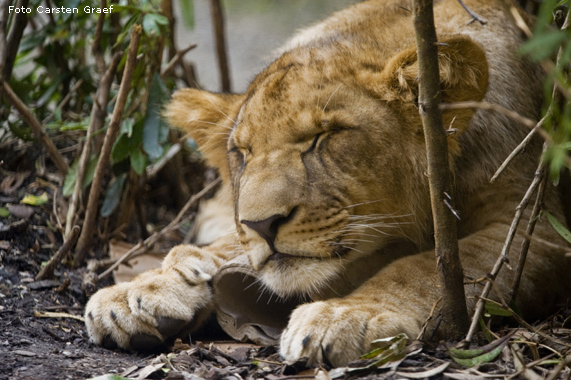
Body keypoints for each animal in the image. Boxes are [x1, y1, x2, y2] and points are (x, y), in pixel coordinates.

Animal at [85, 0, 571, 368]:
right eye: (242, 153)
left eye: (325, 136)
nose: (262, 224)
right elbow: (229, 247)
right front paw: (142, 290)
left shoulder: (536, 231)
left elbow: (429, 267)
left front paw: (347, 314)